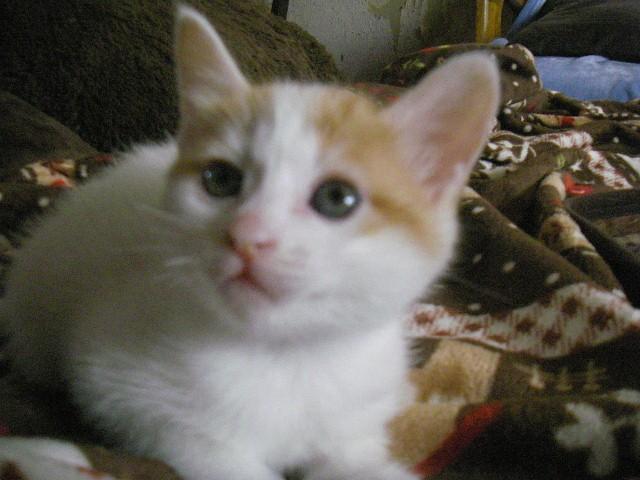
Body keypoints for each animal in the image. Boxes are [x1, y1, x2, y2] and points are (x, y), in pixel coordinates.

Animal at [1, 5, 499, 480]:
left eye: (336, 198)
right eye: (220, 179)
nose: (246, 235)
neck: (285, 362)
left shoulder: (355, 415)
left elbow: (353, 459)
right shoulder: (113, 380)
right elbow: (197, 443)